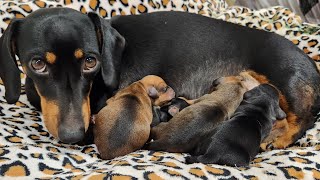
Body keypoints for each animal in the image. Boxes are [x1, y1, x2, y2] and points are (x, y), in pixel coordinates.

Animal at [0, 7, 320, 147]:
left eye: (91, 61)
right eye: (37, 64)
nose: (73, 136)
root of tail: (309, 61)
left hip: (285, 75)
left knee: (302, 120)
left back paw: (278, 136)